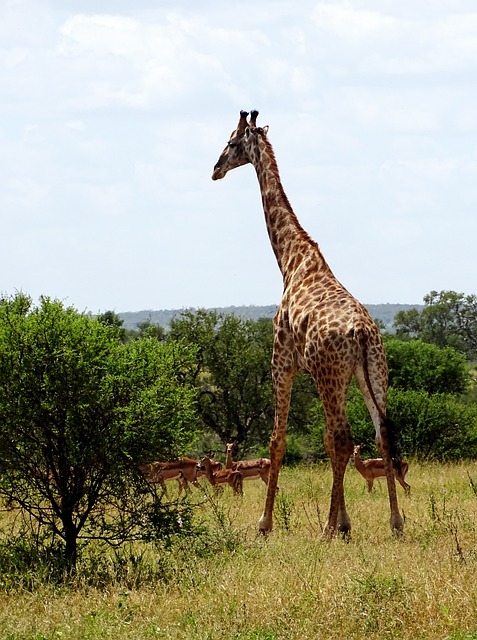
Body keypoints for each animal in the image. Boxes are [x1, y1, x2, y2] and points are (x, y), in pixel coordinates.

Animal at [212, 111, 402, 540]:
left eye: (231, 142)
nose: (215, 169)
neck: (291, 260)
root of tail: (362, 334)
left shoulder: (281, 361)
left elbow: (277, 440)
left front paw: (265, 524)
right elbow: (326, 441)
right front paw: (342, 522)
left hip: (330, 375)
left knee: (343, 438)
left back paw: (331, 528)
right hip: (371, 373)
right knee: (379, 434)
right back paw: (395, 523)